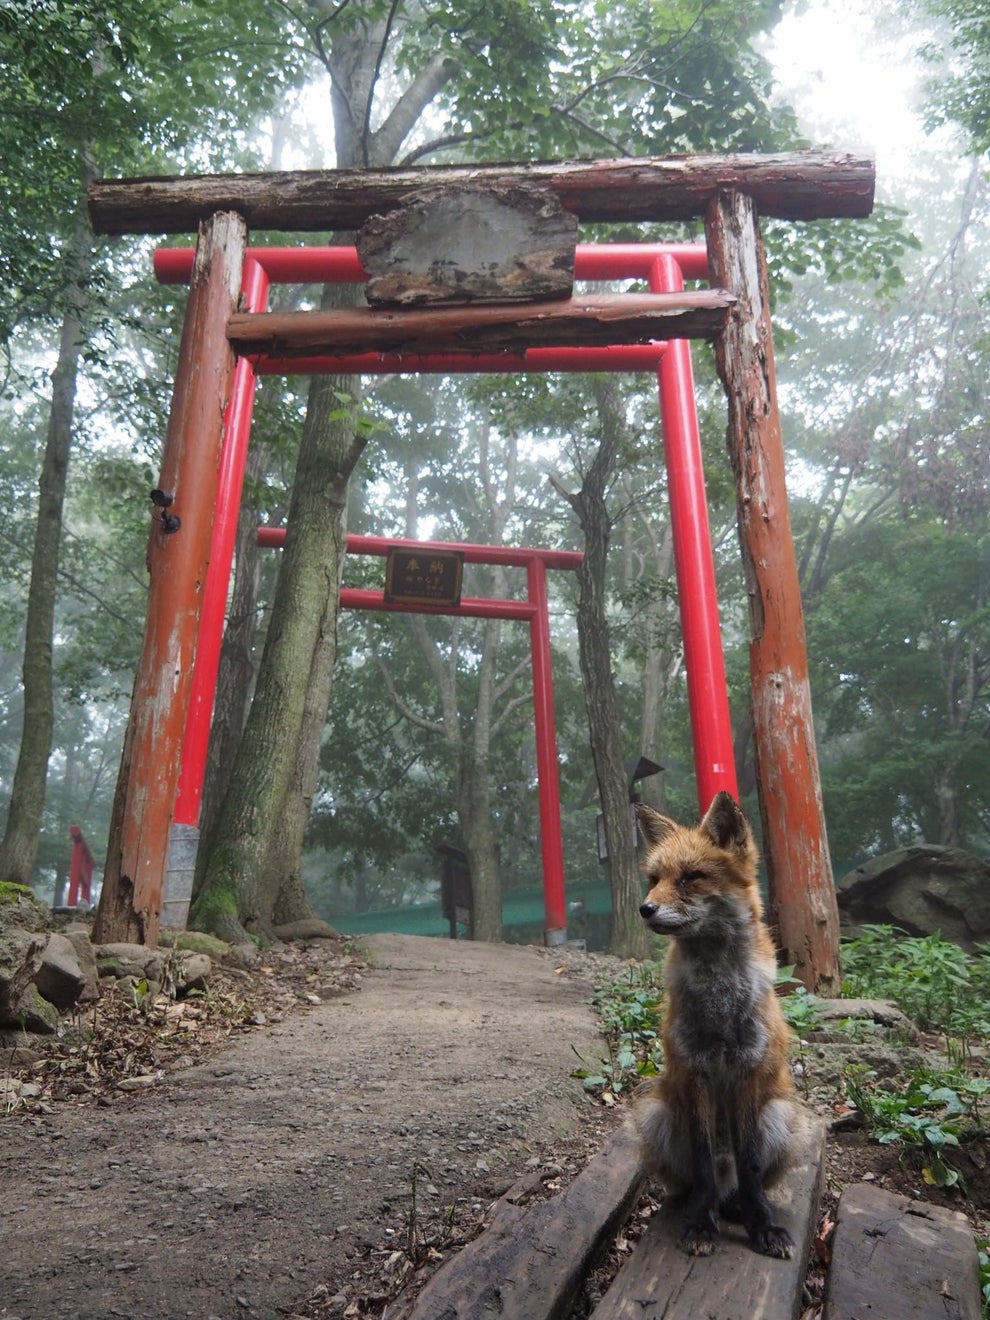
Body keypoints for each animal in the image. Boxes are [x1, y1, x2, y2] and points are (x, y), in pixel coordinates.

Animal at [636, 786, 807, 1261]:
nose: (645, 908)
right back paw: (692, 1204)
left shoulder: (748, 1070)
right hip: (656, 1115)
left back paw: (737, 1208)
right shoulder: (695, 1071)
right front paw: (701, 1224)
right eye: (653, 879)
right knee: (695, 1181)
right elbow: (703, 1163)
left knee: (743, 1183)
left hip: (780, 1116)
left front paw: (762, 1225)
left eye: (691, 877)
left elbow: (750, 1168)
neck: (719, 999)